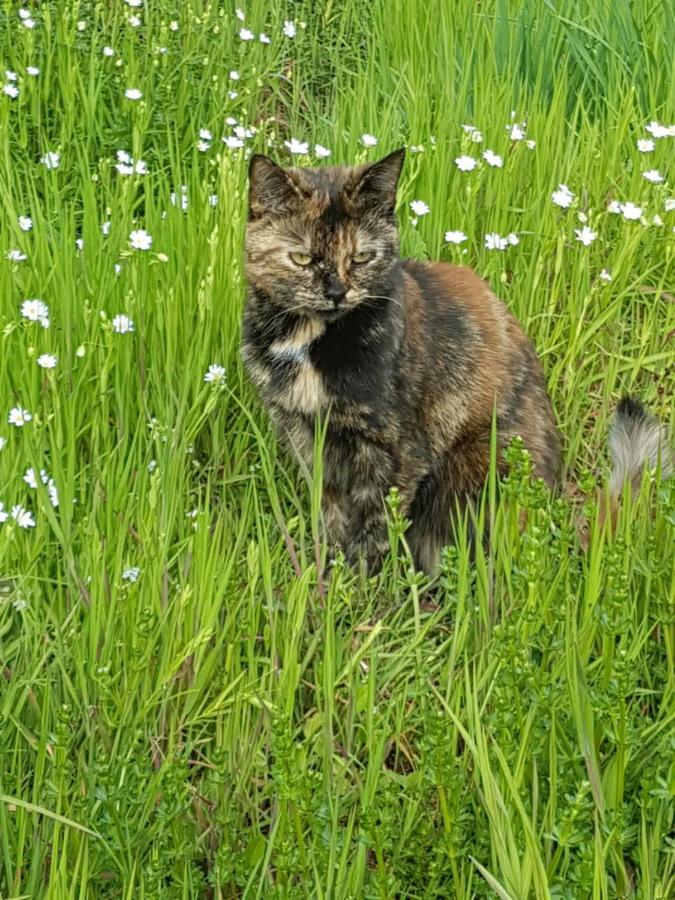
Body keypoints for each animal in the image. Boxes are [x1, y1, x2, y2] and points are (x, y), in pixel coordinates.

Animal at [240, 148, 668, 568]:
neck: (310, 342)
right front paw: (325, 568)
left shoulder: (396, 452)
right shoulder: (305, 438)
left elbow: (373, 531)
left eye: (361, 257)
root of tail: (553, 505)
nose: (336, 292)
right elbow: (331, 515)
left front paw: (355, 581)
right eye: (301, 258)